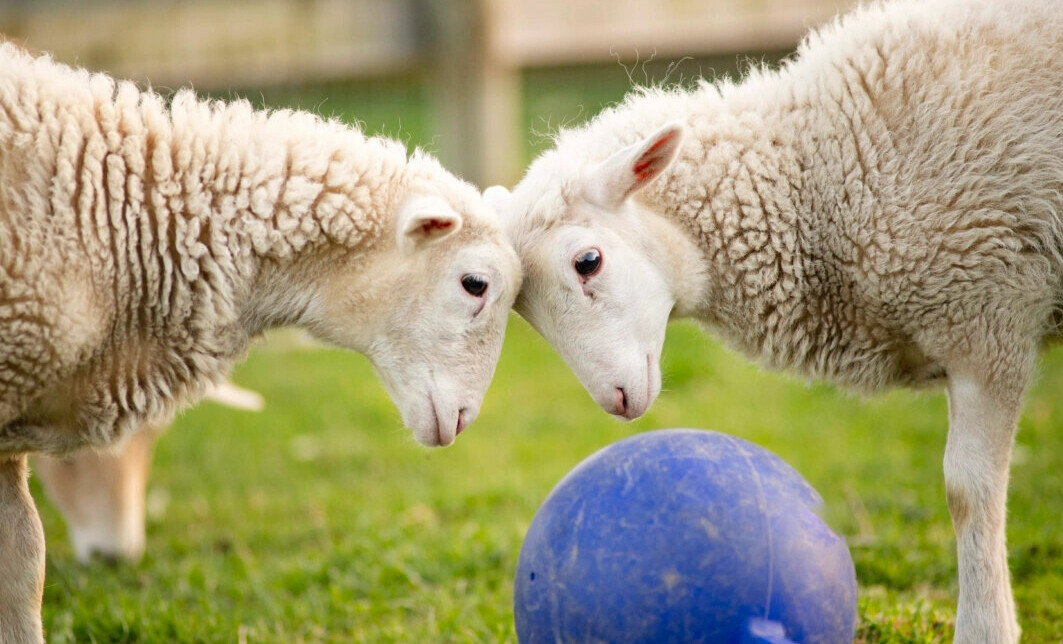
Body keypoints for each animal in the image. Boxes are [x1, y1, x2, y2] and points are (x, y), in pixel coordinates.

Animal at [488, 2, 1063, 641]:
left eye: (587, 262)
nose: (616, 400)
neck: (824, 171)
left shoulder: (989, 319)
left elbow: (968, 492)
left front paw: (985, 628)